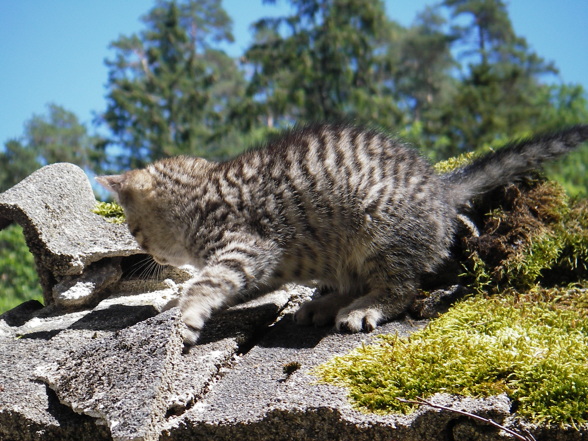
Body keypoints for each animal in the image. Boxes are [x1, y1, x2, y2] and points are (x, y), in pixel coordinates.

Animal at [96, 121, 588, 344]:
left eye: (134, 230)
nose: (148, 256)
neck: (202, 191)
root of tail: (439, 189)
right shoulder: (267, 264)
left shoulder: (246, 246)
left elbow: (208, 281)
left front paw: (187, 316)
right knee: (352, 280)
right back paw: (326, 303)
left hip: (378, 229)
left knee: (401, 287)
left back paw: (363, 308)